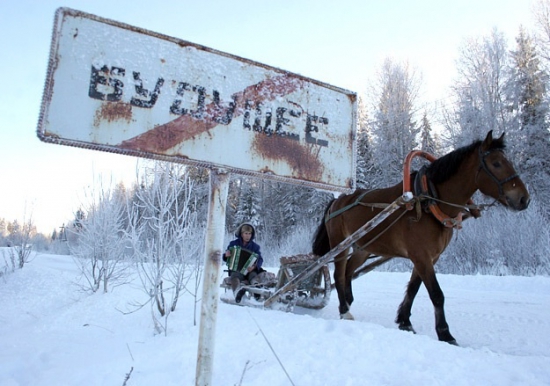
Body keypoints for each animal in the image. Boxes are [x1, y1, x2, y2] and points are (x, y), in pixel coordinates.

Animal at [312, 132, 532, 344]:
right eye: (496, 163)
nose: (524, 199)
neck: (429, 202)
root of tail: (337, 200)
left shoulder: (429, 257)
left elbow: (413, 288)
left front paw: (404, 321)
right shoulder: (421, 256)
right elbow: (436, 294)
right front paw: (445, 333)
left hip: (364, 247)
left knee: (349, 271)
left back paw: (348, 301)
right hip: (340, 244)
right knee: (339, 275)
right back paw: (344, 310)